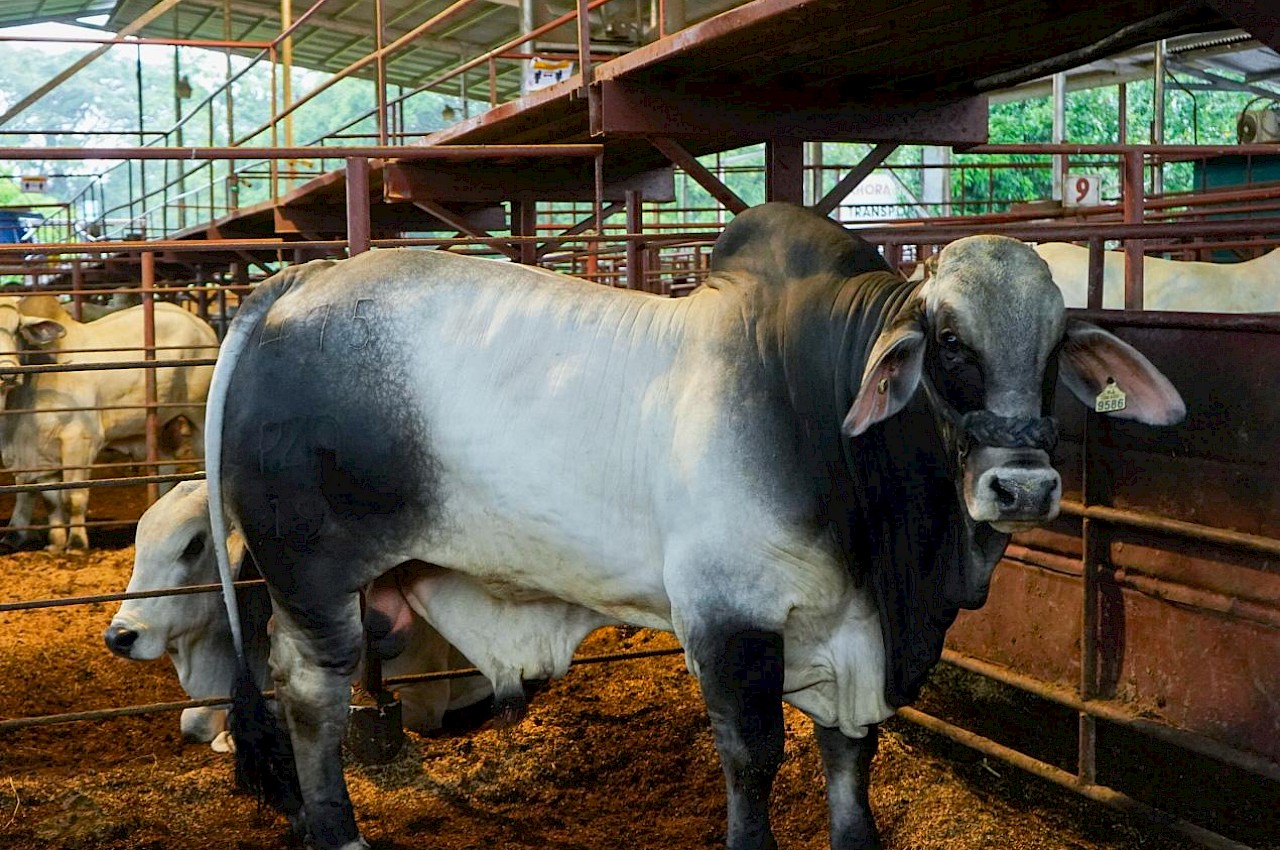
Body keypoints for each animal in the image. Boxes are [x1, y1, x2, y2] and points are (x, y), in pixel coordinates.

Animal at [0, 295, 218, 551]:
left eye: (17, 329)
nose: (7, 371)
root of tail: (201, 325)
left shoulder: (80, 440)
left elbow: (73, 497)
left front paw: (76, 543)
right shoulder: (42, 450)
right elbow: (51, 500)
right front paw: (55, 543)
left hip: (199, 413)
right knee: (165, 464)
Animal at [204, 202, 1185, 850]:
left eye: (1056, 349)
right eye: (949, 344)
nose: (1022, 487)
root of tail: (293, 282)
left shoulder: (851, 641)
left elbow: (850, 763)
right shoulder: (728, 619)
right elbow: (752, 760)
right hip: (314, 576)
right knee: (312, 695)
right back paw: (337, 831)